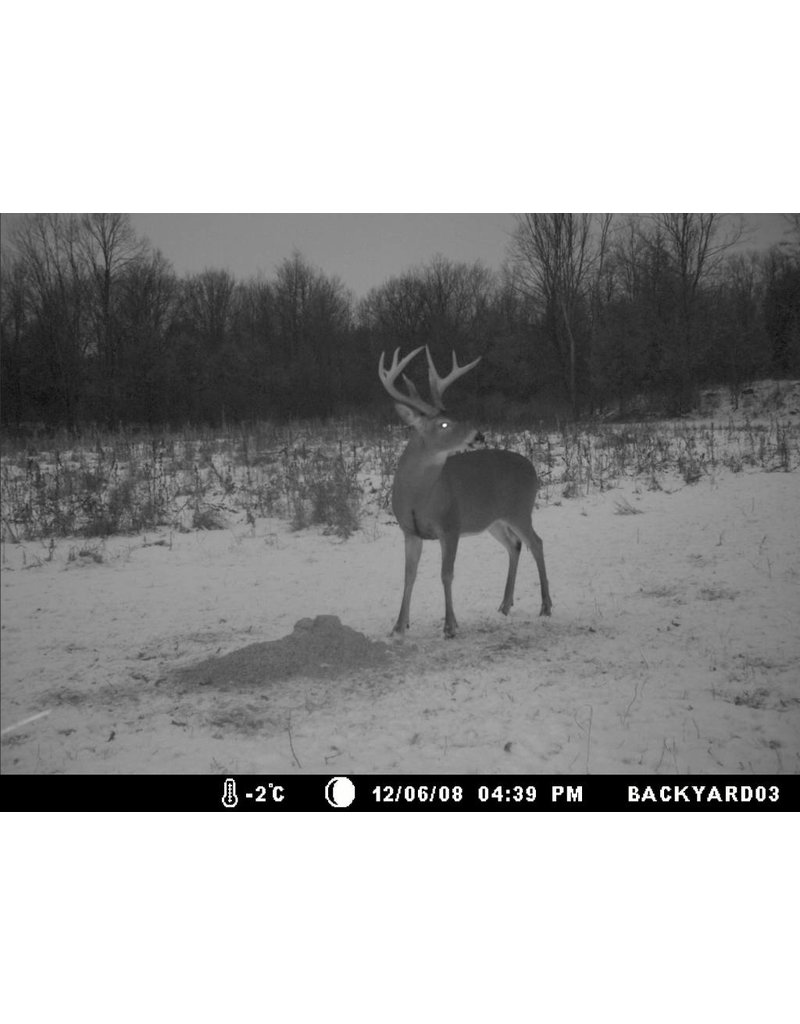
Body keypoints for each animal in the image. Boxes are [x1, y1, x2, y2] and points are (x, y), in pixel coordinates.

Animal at [378, 345, 552, 638]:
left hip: (520, 509)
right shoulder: (409, 531)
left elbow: (446, 574)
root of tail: (531, 467)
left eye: (457, 416)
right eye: (444, 424)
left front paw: (450, 625)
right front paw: (399, 626)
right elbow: (409, 575)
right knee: (515, 545)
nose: (478, 435)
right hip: (494, 520)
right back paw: (504, 605)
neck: (418, 497)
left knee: (536, 543)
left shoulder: (451, 525)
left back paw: (546, 606)